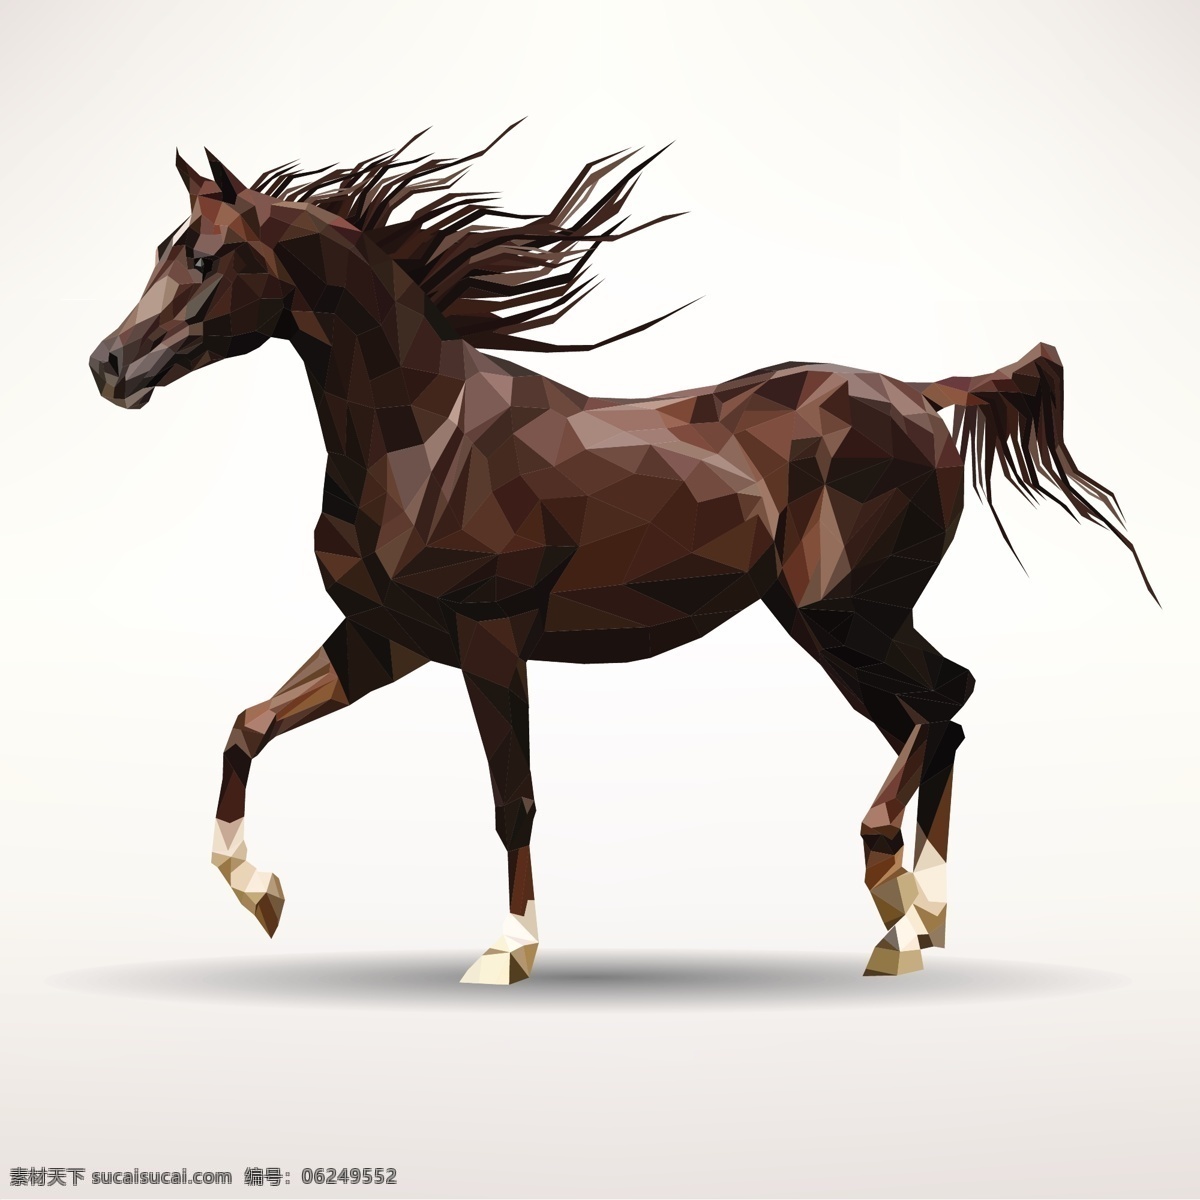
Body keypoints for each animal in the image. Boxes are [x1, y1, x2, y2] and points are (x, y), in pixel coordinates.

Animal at [89, 126, 1153, 983]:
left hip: (852, 613)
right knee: (933, 720)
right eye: (162, 251)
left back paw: (900, 889)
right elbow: (248, 725)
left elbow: (512, 799)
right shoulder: (387, 639)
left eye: (206, 257)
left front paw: (508, 950)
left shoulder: (487, 640)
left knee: (949, 700)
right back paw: (913, 925)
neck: (423, 438)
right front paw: (258, 892)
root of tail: (922, 393)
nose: (108, 365)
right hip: (827, 629)